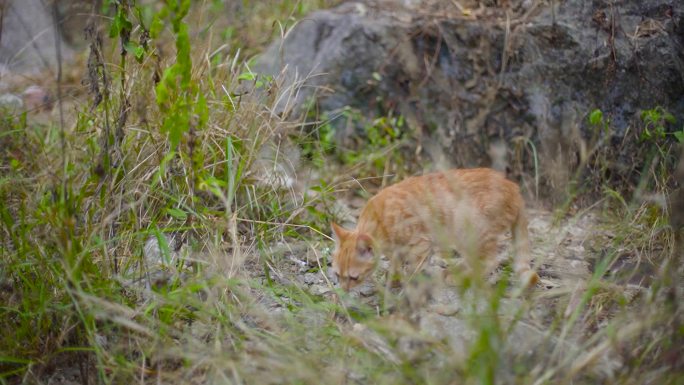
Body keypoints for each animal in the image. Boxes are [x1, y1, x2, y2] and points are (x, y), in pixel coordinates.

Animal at [332, 166, 540, 290]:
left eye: (353, 277)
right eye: (337, 275)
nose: (343, 290)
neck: (378, 220)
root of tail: (514, 188)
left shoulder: (421, 244)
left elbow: (413, 268)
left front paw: (407, 284)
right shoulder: (398, 250)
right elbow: (396, 264)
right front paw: (394, 279)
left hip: (471, 231)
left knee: (489, 261)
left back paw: (460, 278)